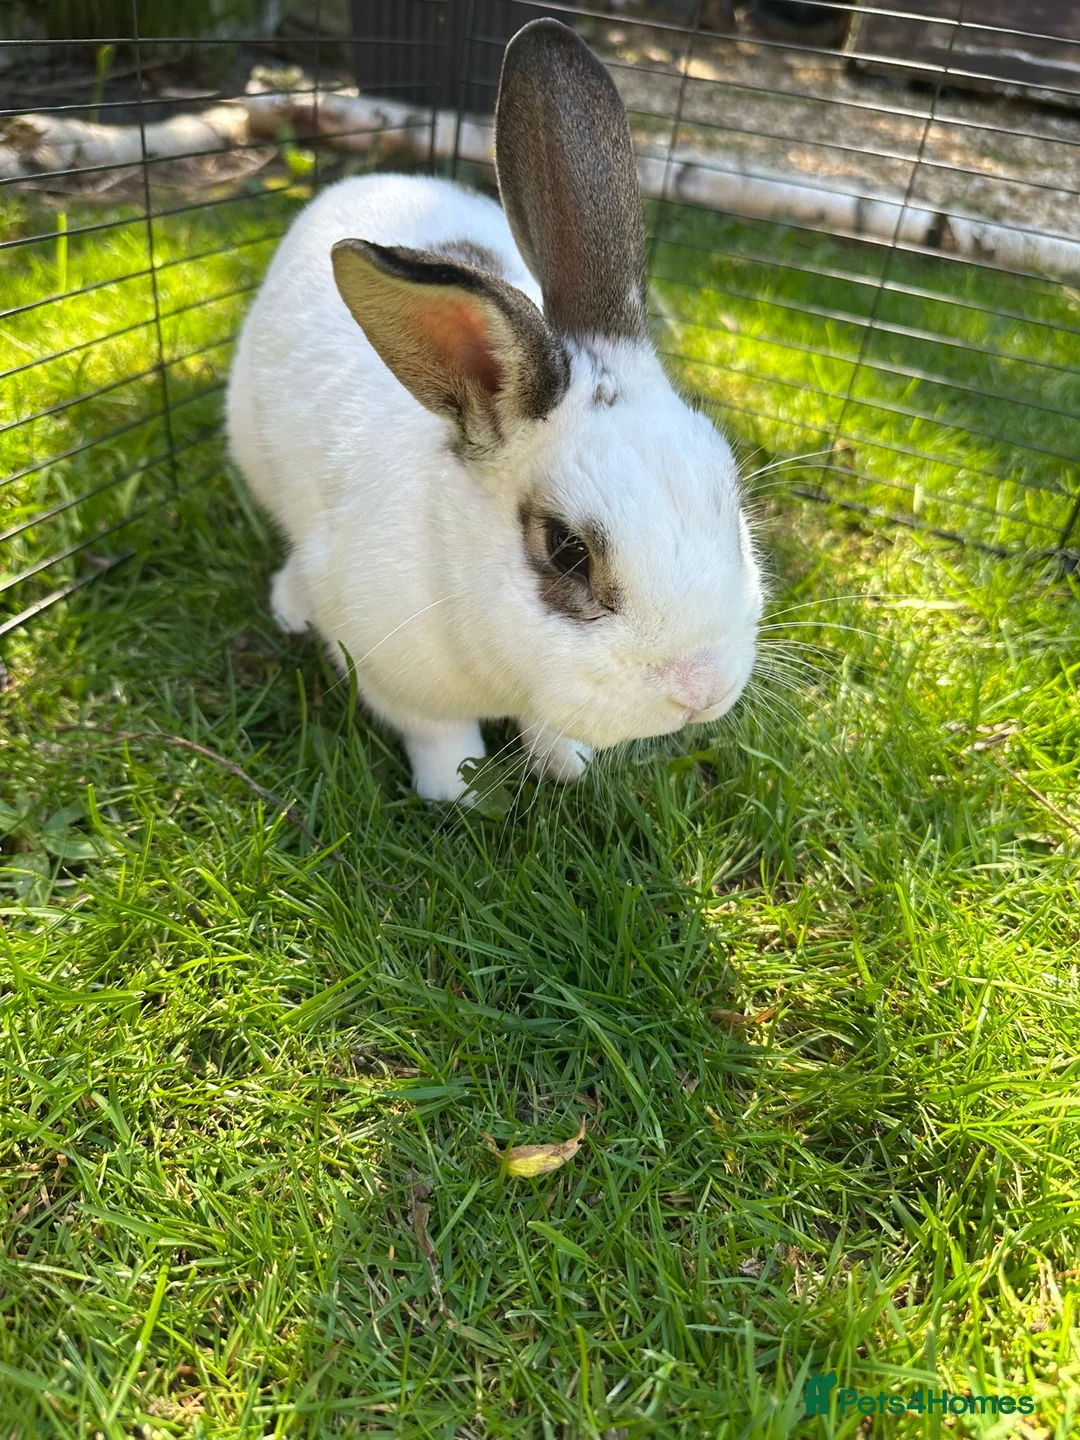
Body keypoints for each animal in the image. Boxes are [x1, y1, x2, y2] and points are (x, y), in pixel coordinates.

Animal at [226, 18, 763, 802]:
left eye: (732, 501)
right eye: (567, 551)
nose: (702, 690)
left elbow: (548, 730)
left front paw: (568, 764)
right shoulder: (391, 676)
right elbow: (437, 736)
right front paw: (459, 795)